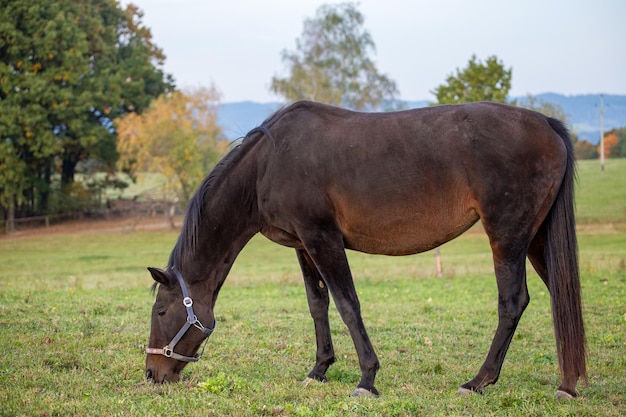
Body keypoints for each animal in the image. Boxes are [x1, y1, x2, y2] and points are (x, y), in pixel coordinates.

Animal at [144, 99, 584, 398]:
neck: (268, 165)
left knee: (512, 303)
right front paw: (319, 370)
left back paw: (479, 381)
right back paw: (568, 384)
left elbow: (347, 304)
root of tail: (546, 124)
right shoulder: (303, 244)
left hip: (507, 235)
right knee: (561, 295)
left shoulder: (322, 238)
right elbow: (317, 304)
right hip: (536, 238)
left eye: (161, 311)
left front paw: (367, 378)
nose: (152, 373)